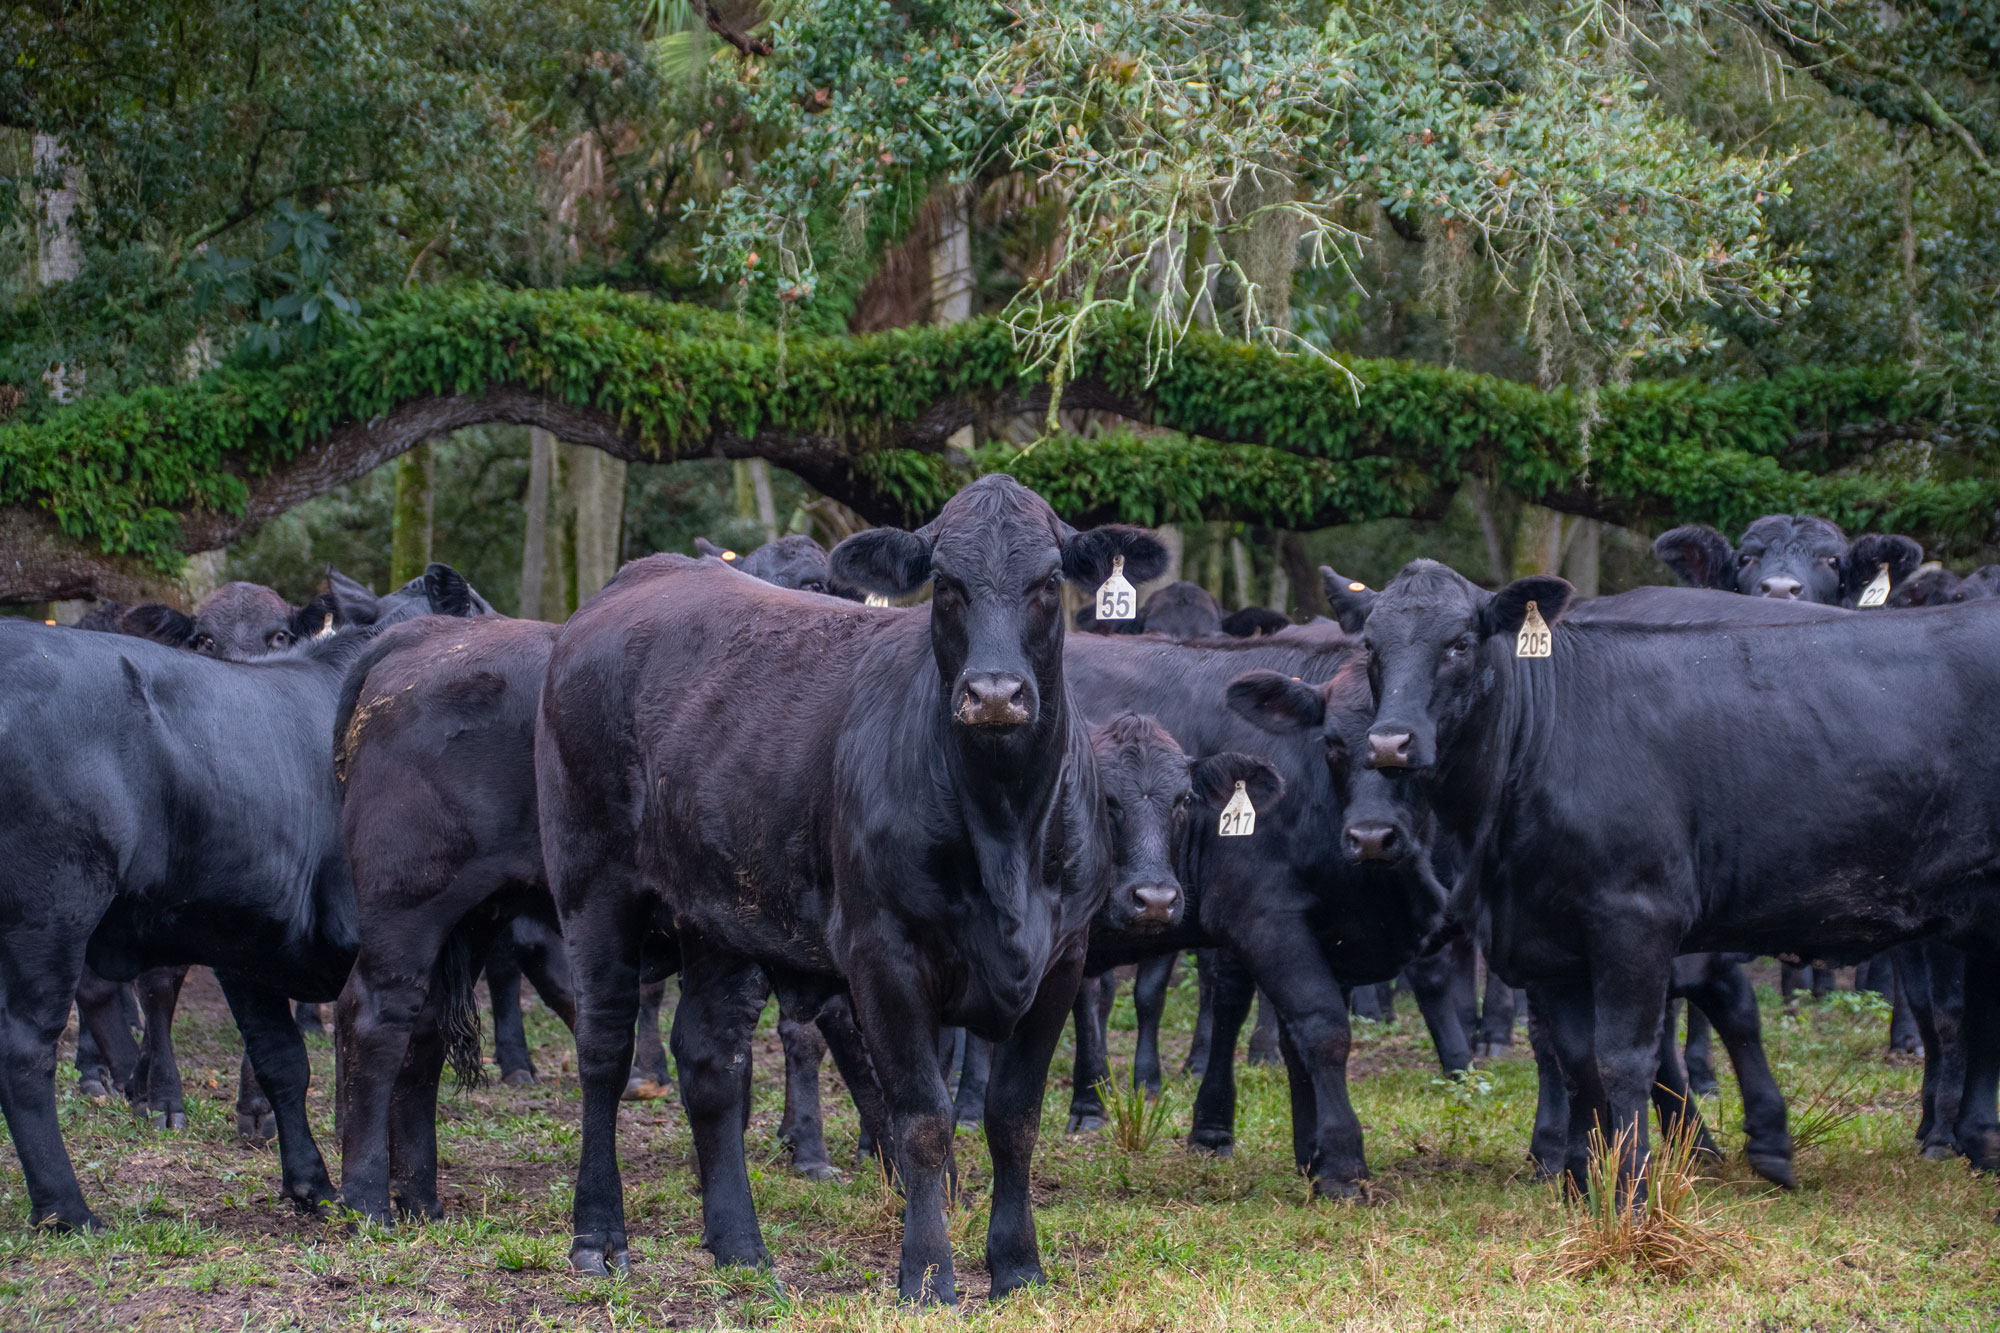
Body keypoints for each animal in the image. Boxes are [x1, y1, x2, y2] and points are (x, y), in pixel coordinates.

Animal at [536, 475, 1168, 1302]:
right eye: (948, 585)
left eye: (1046, 581)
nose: (995, 694)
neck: (1004, 821)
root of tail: (633, 582)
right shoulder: (883, 952)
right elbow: (922, 1117)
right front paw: (927, 1273)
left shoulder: (1063, 955)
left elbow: (1013, 1117)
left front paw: (1018, 1265)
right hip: (592, 885)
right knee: (603, 1050)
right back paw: (599, 1235)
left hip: (718, 910)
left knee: (708, 1059)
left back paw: (740, 1242)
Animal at [1345, 561, 2000, 1205]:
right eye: (1371, 646)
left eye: (1459, 643)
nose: (1389, 742)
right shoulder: (1547, 939)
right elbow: (1576, 1063)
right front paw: (1582, 1187)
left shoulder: (1635, 916)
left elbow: (1623, 1059)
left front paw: (1632, 1194)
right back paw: (1978, 1141)